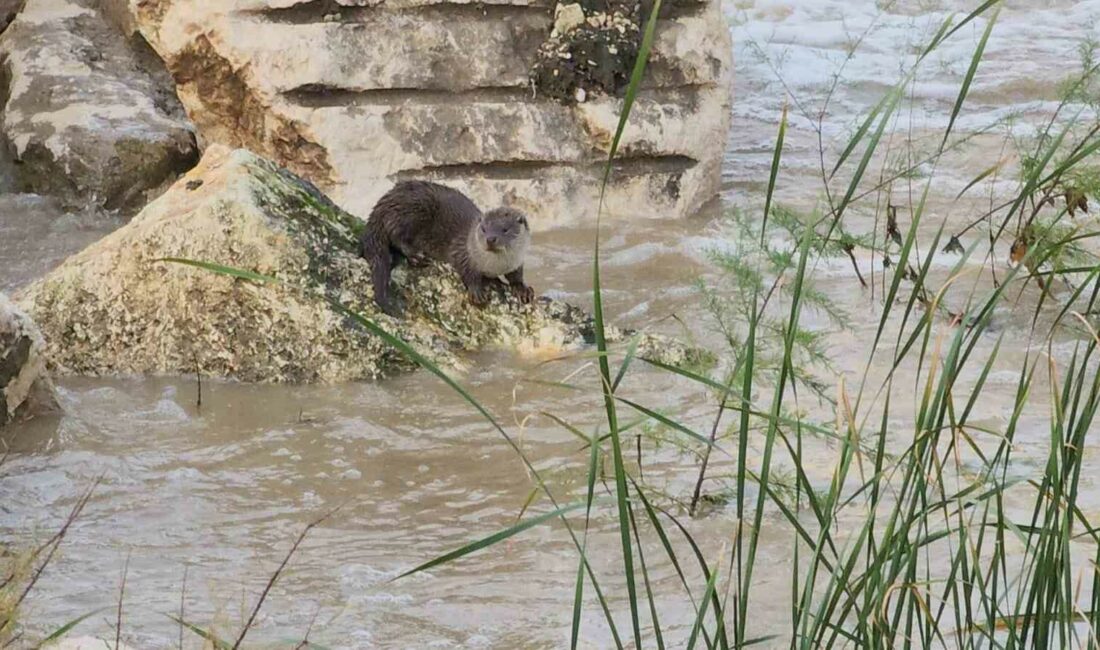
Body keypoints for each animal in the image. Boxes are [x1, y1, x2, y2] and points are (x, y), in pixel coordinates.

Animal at [358, 181, 534, 316]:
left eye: (505, 229)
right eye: (484, 229)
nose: (490, 239)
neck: (495, 266)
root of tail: (385, 202)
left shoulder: (516, 261)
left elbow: (516, 275)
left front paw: (522, 289)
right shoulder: (463, 251)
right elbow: (466, 270)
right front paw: (476, 291)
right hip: (414, 208)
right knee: (396, 235)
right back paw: (416, 255)